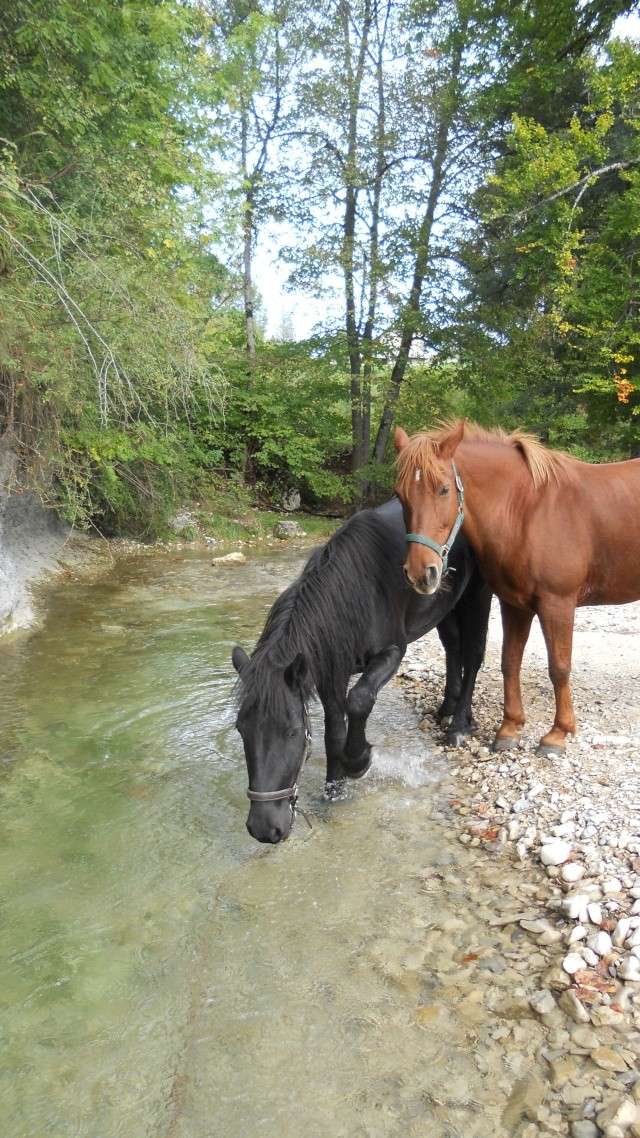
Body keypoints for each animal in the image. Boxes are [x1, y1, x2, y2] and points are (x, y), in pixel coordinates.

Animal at [233, 498, 487, 846]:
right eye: (241, 730)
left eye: (292, 732)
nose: (263, 828)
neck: (358, 591)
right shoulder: (330, 672)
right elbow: (333, 732)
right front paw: (333, 791)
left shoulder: (392, 653)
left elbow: (359, 700)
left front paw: (357, 762)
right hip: (446, 607)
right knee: (453, 648)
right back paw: (447, 708)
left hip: (476, 596)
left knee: (472, 656)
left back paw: (459, 725)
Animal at [394, 418, 637, 755]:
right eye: (400, 495)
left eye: (443, 489)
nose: (421, 572)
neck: (527, 511)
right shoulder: (514, 604)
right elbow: (509, 662)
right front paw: (509, 728)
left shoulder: (557, 604)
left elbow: (559, 667)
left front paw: (558, 734)